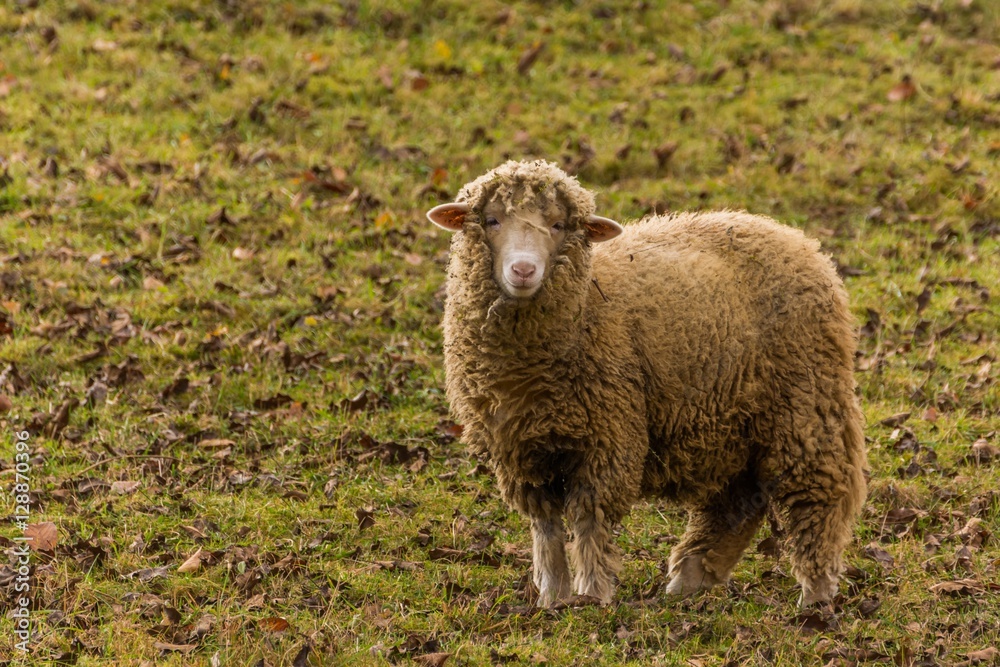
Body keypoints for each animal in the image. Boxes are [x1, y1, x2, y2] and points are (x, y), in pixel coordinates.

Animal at [428, 159, 868, 608]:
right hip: (734, 418)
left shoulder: (608, 436)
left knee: (818, 496)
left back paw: (815, 594)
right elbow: (546, 527)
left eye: (558, 225)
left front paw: (592, 595)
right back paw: (689, 580)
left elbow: (589, 519)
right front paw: (552, 597)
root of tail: (797, 239)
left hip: (806, 403)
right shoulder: (521, 450)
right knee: (740, 500)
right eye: (492, 220)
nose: (523, 270)